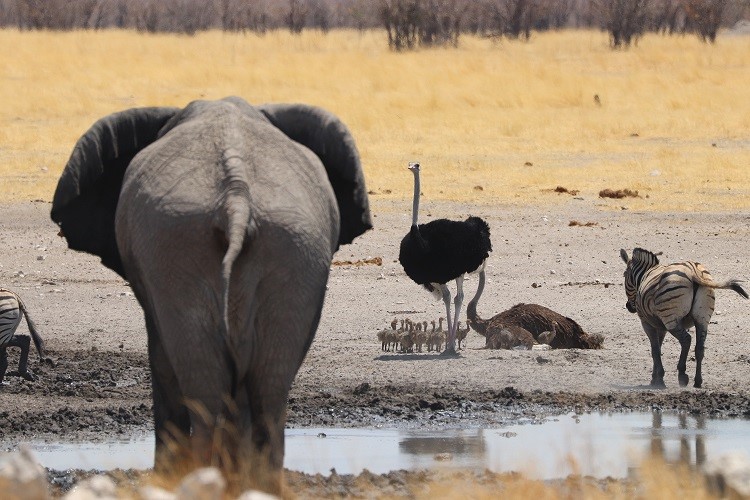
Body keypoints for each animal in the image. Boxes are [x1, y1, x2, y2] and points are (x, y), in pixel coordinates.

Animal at [50, 95, 374, 490]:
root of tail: (237, 200)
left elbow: (161, 358)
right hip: (292, 248)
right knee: (268, 390)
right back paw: (255, 484)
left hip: (182, 245)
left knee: (205, 391)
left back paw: (201, 480)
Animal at [620, 248, 748, 388]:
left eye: (624, 275)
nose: (628, 306)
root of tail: (693, 271)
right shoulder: (660, 327)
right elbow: (658, 348)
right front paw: (655, 378)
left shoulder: (647, 323)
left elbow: (655, 350)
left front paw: (659, 380)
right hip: (702, 319)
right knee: (700, 348)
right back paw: (698, 381)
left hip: (671, 319)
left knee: (686, 340)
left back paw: (682, 375)